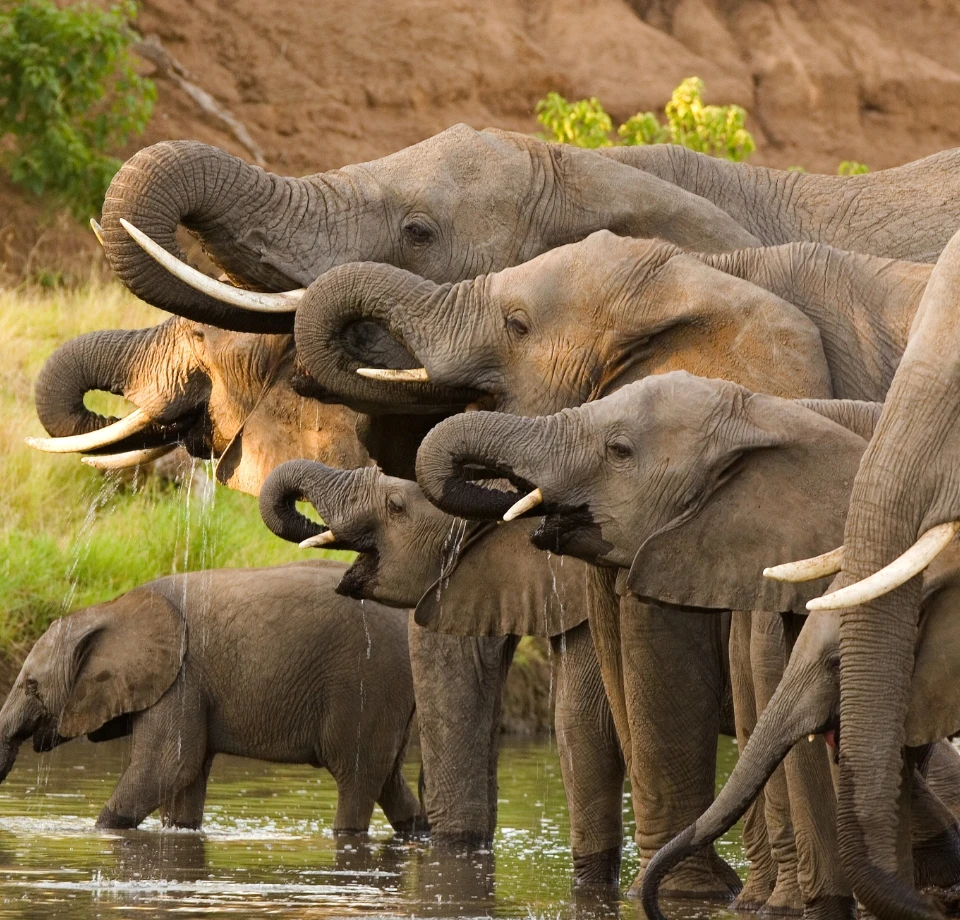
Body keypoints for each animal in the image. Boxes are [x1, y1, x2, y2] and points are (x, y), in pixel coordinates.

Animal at [0, 559, 424, 835]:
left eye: (31, 686)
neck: (112, 609)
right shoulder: (187, 686)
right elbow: (185, 779)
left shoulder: (181, 680)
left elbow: (167, 766)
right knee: (389, 781)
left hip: (369, 684)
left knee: (356, 780)